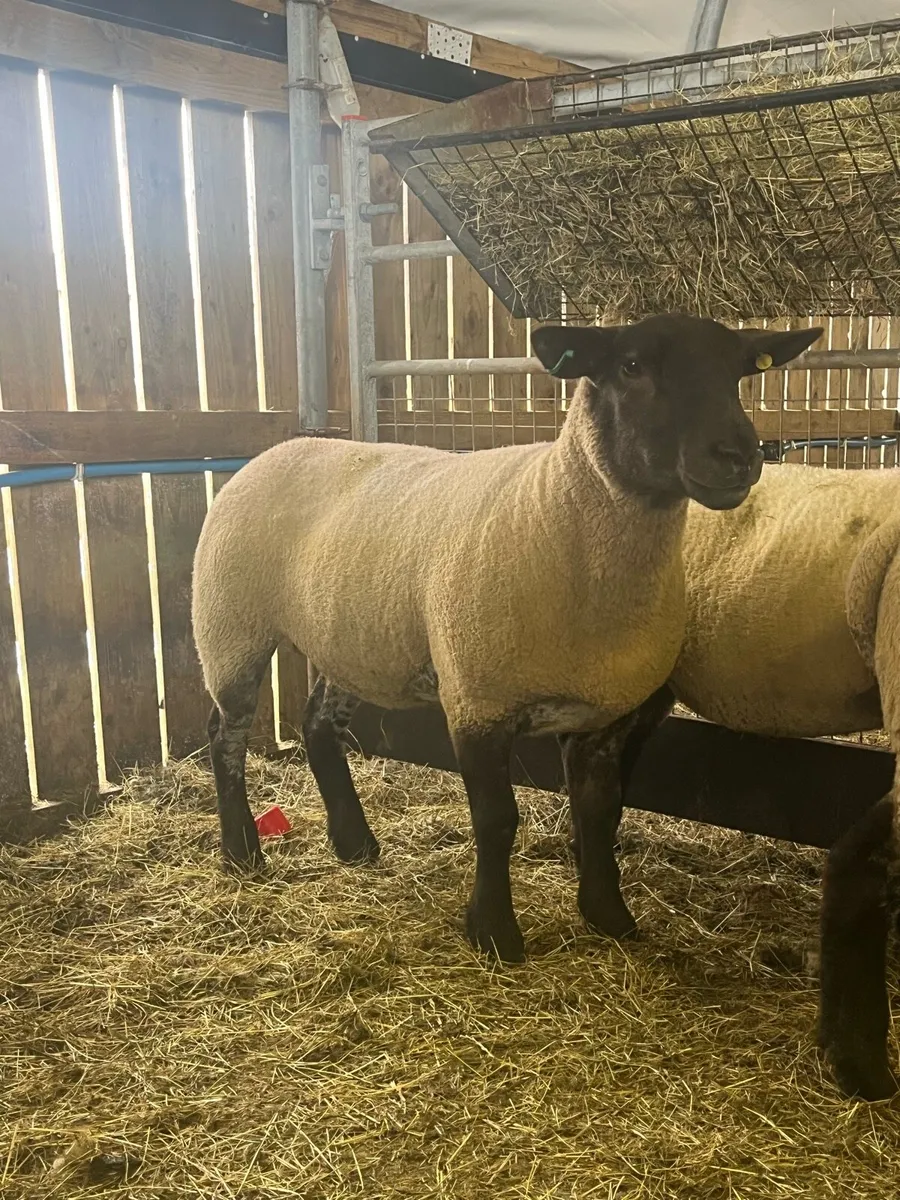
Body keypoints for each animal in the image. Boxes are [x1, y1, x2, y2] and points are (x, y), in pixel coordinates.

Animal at [191, 314, 820, 966]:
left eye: (741, 372)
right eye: (631, 366)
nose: (738, 456)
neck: (557, 507)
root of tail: (286, 445)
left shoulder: (605, 714)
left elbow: (600, 813)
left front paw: (609, 917)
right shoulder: (477, 701)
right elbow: (496, 821)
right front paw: (493, 932)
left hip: (349, 638)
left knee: (316, 723)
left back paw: (354, 843)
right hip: (230, 623)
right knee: (224, 735)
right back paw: (242, 853)